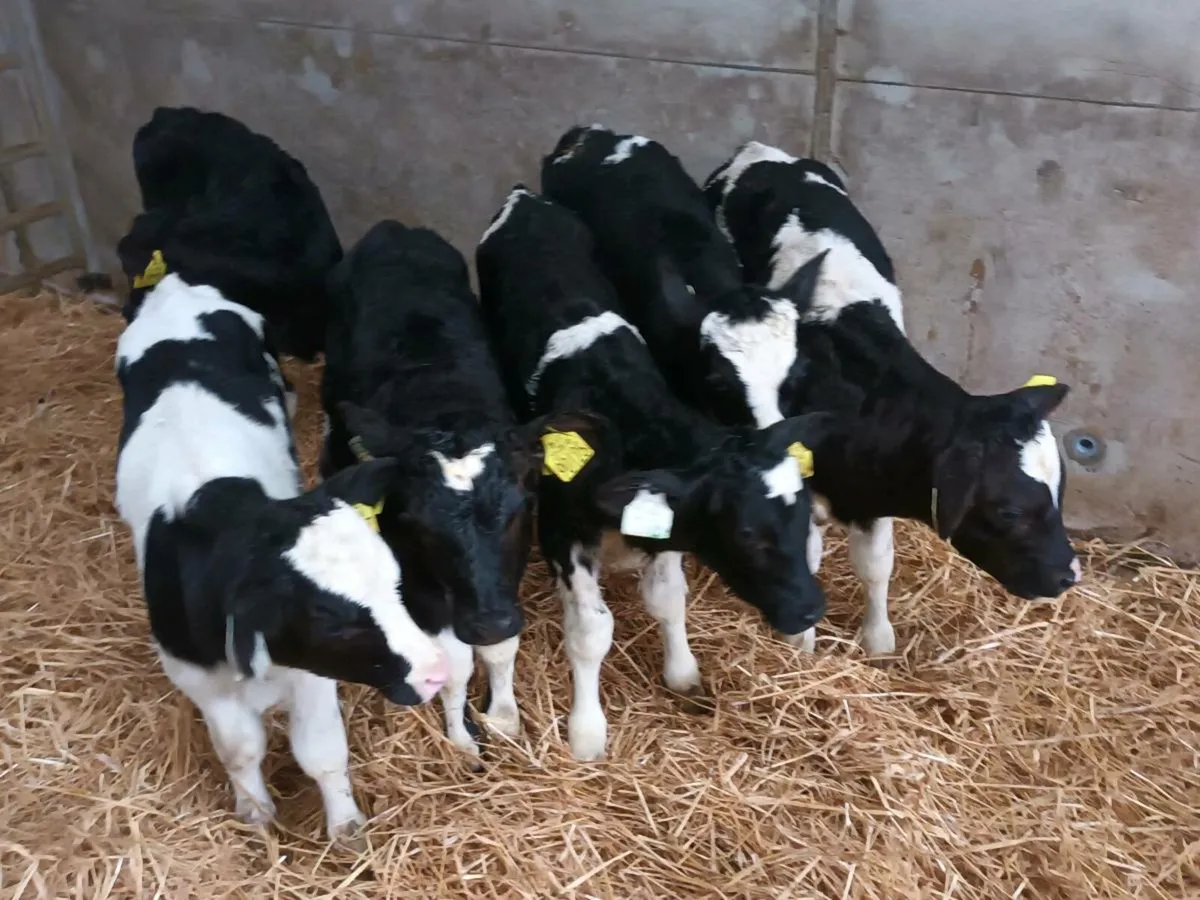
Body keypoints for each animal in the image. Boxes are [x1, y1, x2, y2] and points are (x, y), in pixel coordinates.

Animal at [114, 268, 448, 848]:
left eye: (395, 585)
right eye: (333, 621)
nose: (435, 674)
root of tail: (173, 287)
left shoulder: (311, 673)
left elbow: (321, 752)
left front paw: (346, 826)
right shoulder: (199, 679)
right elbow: (240, 750)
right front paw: (255, 814)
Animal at [320, 220, 589, 758]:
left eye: (521, 507)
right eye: (416, 524)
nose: (486, 621)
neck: (445, 405)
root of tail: (391, 229)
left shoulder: (506, 579)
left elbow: (501, 649)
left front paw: (503, 717)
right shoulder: (418, 581)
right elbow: (456, 662)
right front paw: (463, 737)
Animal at [476, 186, 831, 761]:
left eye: (802, 519)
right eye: (745, 532)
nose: (809, 610)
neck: (625, 420)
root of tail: (524, 198)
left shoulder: (664, 513)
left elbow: (667, 599)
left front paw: (682, 672)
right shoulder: (560, 530)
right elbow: (590, 631)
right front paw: (587, 733)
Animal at [703, 140, 1081, 655]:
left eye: (1061, 492)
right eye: (1009, 511)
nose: (1068, 575)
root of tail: (759, 150)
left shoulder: (876, 490)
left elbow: (876, 564)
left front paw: (878, 641)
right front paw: (801, 644)